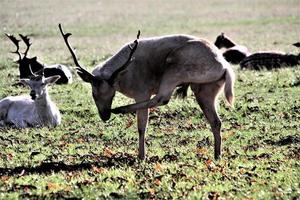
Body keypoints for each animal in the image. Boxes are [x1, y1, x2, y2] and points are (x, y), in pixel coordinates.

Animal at [59, 24, 236, 160]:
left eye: (112, 93)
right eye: (94, 93)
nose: (105, 115)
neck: (125, 75)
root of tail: (225, 67)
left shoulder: (142, 91)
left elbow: (142, 125)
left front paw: (141, 156)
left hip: (174, 69)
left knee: (163, 98)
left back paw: (120, 109)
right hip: (205, 89)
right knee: (216, 121)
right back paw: (217, 155)